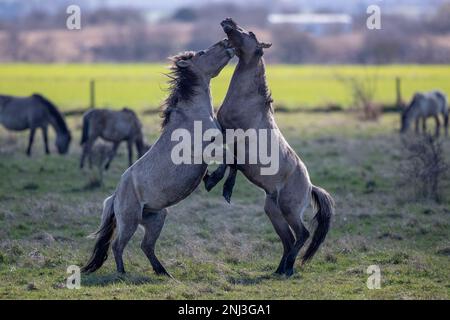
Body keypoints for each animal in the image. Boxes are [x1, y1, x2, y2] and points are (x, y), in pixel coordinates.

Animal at [81, 39, 236, 276]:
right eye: (202, 53)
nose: (226, 42)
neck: (192, 116)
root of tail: (115, 196)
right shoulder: (203, 148)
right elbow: (228, 155)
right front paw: (212, 180)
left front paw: (214, 181)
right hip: (130, 220)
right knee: (118, 245)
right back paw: (123, 273)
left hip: (156, 218)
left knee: (146, 246)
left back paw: (163, 272)